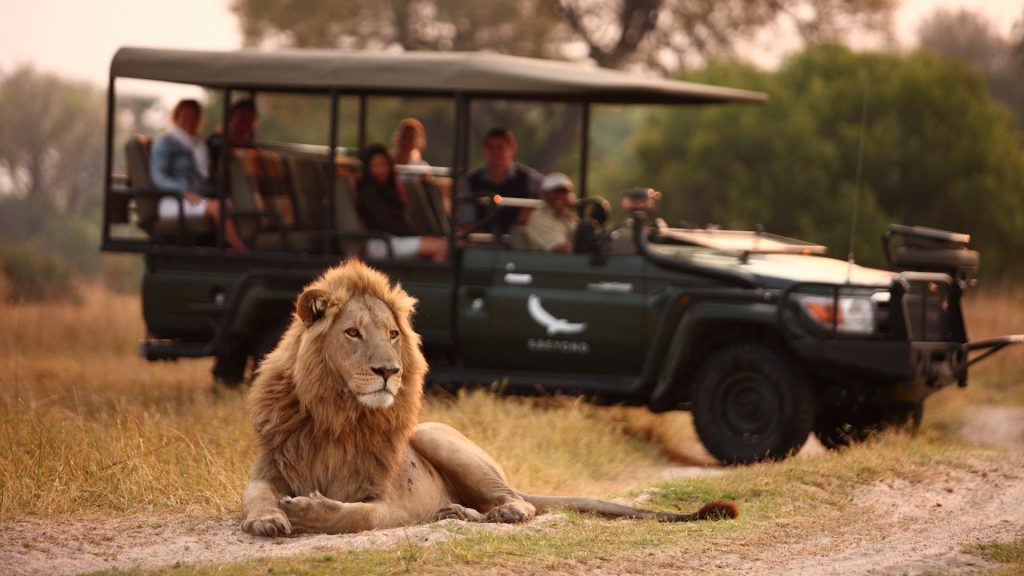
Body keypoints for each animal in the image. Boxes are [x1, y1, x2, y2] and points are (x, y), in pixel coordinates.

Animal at [241, 259, 737, 537]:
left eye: (393, 334)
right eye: (352, 333)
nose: (389, 372)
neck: (338, 415)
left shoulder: (390, 504)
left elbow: (357, 516)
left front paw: (308, 512)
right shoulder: (269, 469)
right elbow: (256, 495)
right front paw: (267, 518)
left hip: (439, 436)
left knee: (520, 502)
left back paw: (487, 514)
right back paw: (457, 512)